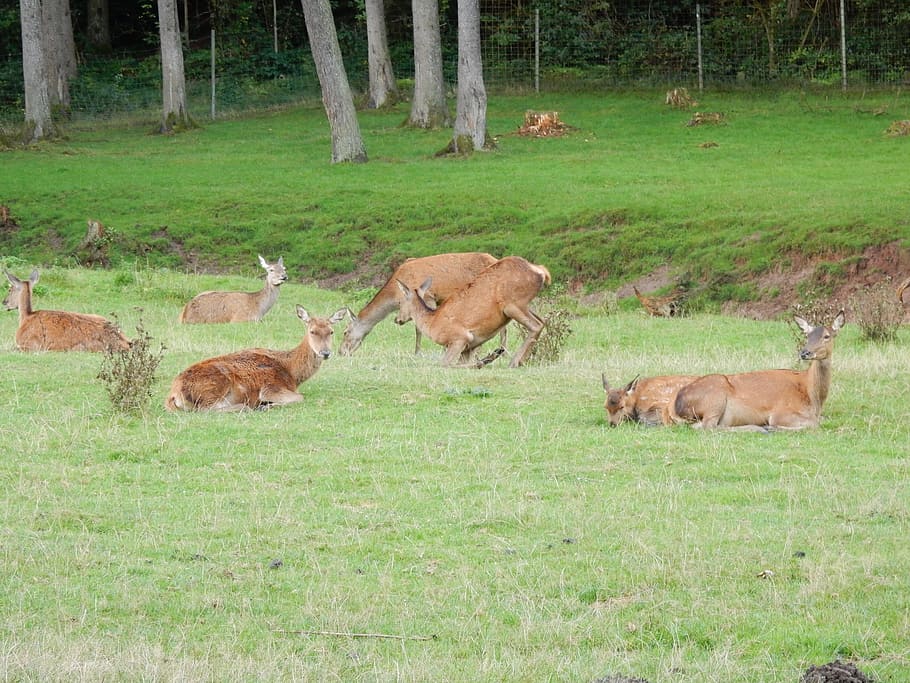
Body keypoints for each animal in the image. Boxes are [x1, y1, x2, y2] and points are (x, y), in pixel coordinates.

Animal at [164, 305, 347, 412]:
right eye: (312, 331)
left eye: (331, 331)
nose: (325, 352)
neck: (292, 373)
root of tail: (174, 394)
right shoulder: (270, 388)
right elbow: (300, 397)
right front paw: (267, 405)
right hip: (215, 386)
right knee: (205, 409)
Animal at [339, 252, 502, 356]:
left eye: (345, 332)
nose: (341, 352)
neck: (395, 295)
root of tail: (494, 259)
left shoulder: (428, 296)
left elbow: (420, 327)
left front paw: (419, 352)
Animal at [394, 255, 550, 368]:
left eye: (400, 302)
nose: (397, 319)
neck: (431, 323)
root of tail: (542, 271)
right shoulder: (469, 347)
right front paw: (489, 357)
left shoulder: (460, 337)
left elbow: (444, 364)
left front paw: (485, 360)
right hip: (522, 305)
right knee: (542, 320)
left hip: (512, 304)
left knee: (536, 325)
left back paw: (514, 362)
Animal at [670, 311, 846, 431]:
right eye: (807, 335)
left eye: (827, 336)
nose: (805, 352)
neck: (813, 398)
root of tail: (677, 405)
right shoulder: (780, 412)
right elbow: (814, 424)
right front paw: (772, 427)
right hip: (714, 398)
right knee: (708, 427)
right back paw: (757, 428)